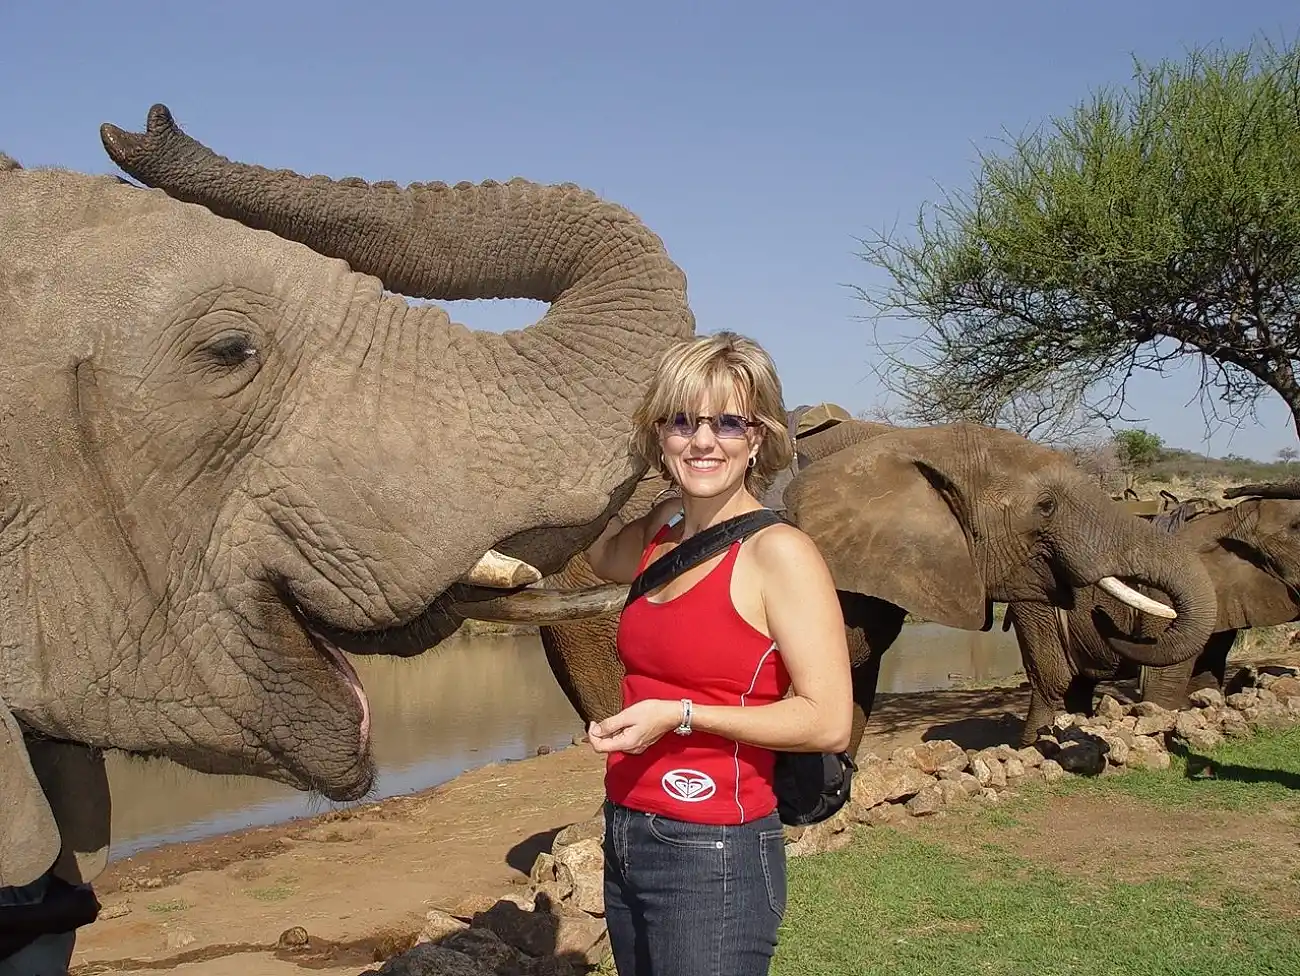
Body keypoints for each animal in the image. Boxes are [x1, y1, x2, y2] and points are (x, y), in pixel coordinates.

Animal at [1006, 481, 1300, 742]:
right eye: (1297, 528)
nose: (1100, 614)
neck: (1229, 518)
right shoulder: (1166, 598)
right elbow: (1163, 685)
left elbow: (1205, 676)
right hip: (1035, 602)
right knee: (1053, 684)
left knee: (1077, 685)